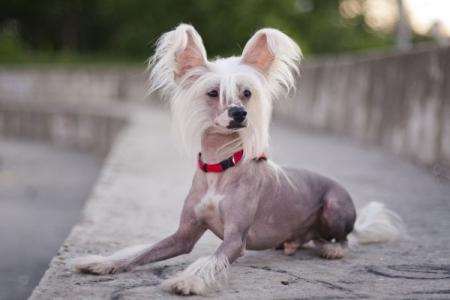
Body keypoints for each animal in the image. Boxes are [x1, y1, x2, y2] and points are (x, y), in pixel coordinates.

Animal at [74, 23, 404, 296]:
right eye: (213, 92)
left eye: (246, 93)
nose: (239, 113)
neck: (218, 167)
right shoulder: (183, 235)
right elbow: (142, 252)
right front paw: (103, 262)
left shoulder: (235, 239)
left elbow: (210, 259)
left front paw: (188, 280)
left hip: (334, 207)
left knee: (345, 239)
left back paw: (334, 250)